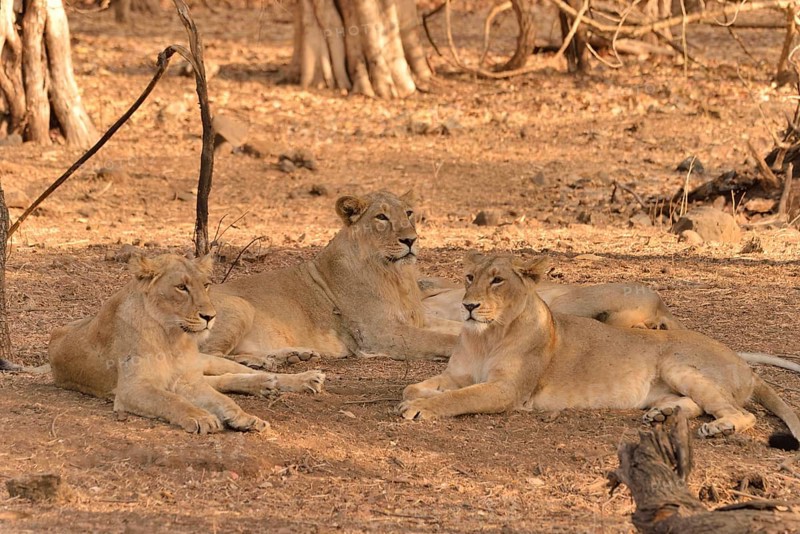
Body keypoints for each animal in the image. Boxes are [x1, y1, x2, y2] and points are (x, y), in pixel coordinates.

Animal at [48, 254, 325, 434]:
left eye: (206, 285)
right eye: (181, 287)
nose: (210, 316)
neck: (172, 336)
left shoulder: (188, 380)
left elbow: (223, 401)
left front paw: (244, 418)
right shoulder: (132, 389)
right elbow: (171, 400)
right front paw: (201, 416)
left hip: (207, 361)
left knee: (239, 374)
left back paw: (302, 376)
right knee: (223, 380)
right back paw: (266, 384)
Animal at [203, 191, 460, 367]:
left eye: (408, 213)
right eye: (382, 217)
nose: (410, 240)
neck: (396, 277)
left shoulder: (418, 319)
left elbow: (455, 327)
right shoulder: (380, 334)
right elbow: (441, 340)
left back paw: (293, 355)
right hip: (239, 307)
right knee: (208, 356)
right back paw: (262, 363)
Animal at [399, 252, 800, 448]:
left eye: (497, 280)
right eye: (470, 277)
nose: (468, 306)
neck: (487, 336)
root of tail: (746, 367)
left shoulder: (507, 390)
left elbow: (458, 398)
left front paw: (421, 408)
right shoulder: (458, 374)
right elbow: (415, 386)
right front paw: (415, 396)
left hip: (677, 363)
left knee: (739, 413)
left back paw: (719, 429)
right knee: (698, 405)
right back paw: (662, 415)